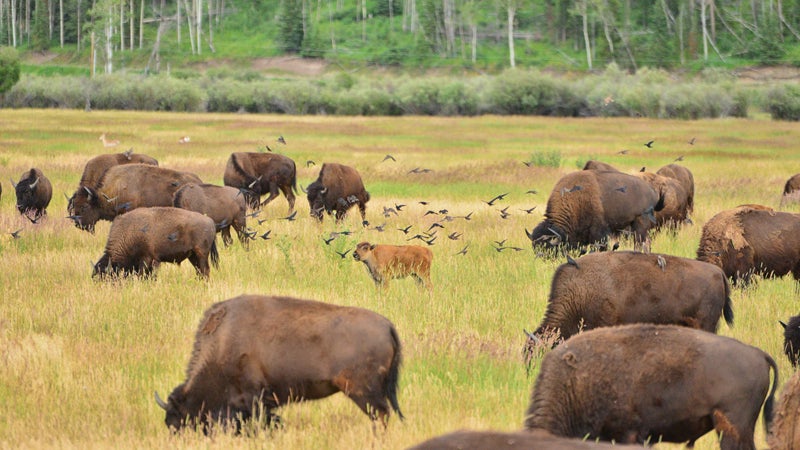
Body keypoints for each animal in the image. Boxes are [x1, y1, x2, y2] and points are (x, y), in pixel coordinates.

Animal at [155, 296, 406, 432]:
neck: (223, 343)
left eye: (178, 421)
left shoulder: (253, 400)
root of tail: (387, 326)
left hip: (364, 393)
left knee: (381, 415)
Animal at [524, 170, 664, 253]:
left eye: (551, 250)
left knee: (641, 242)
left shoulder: (599, 233)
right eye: (535, 248)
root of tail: (652, 191)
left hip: (640, 223)